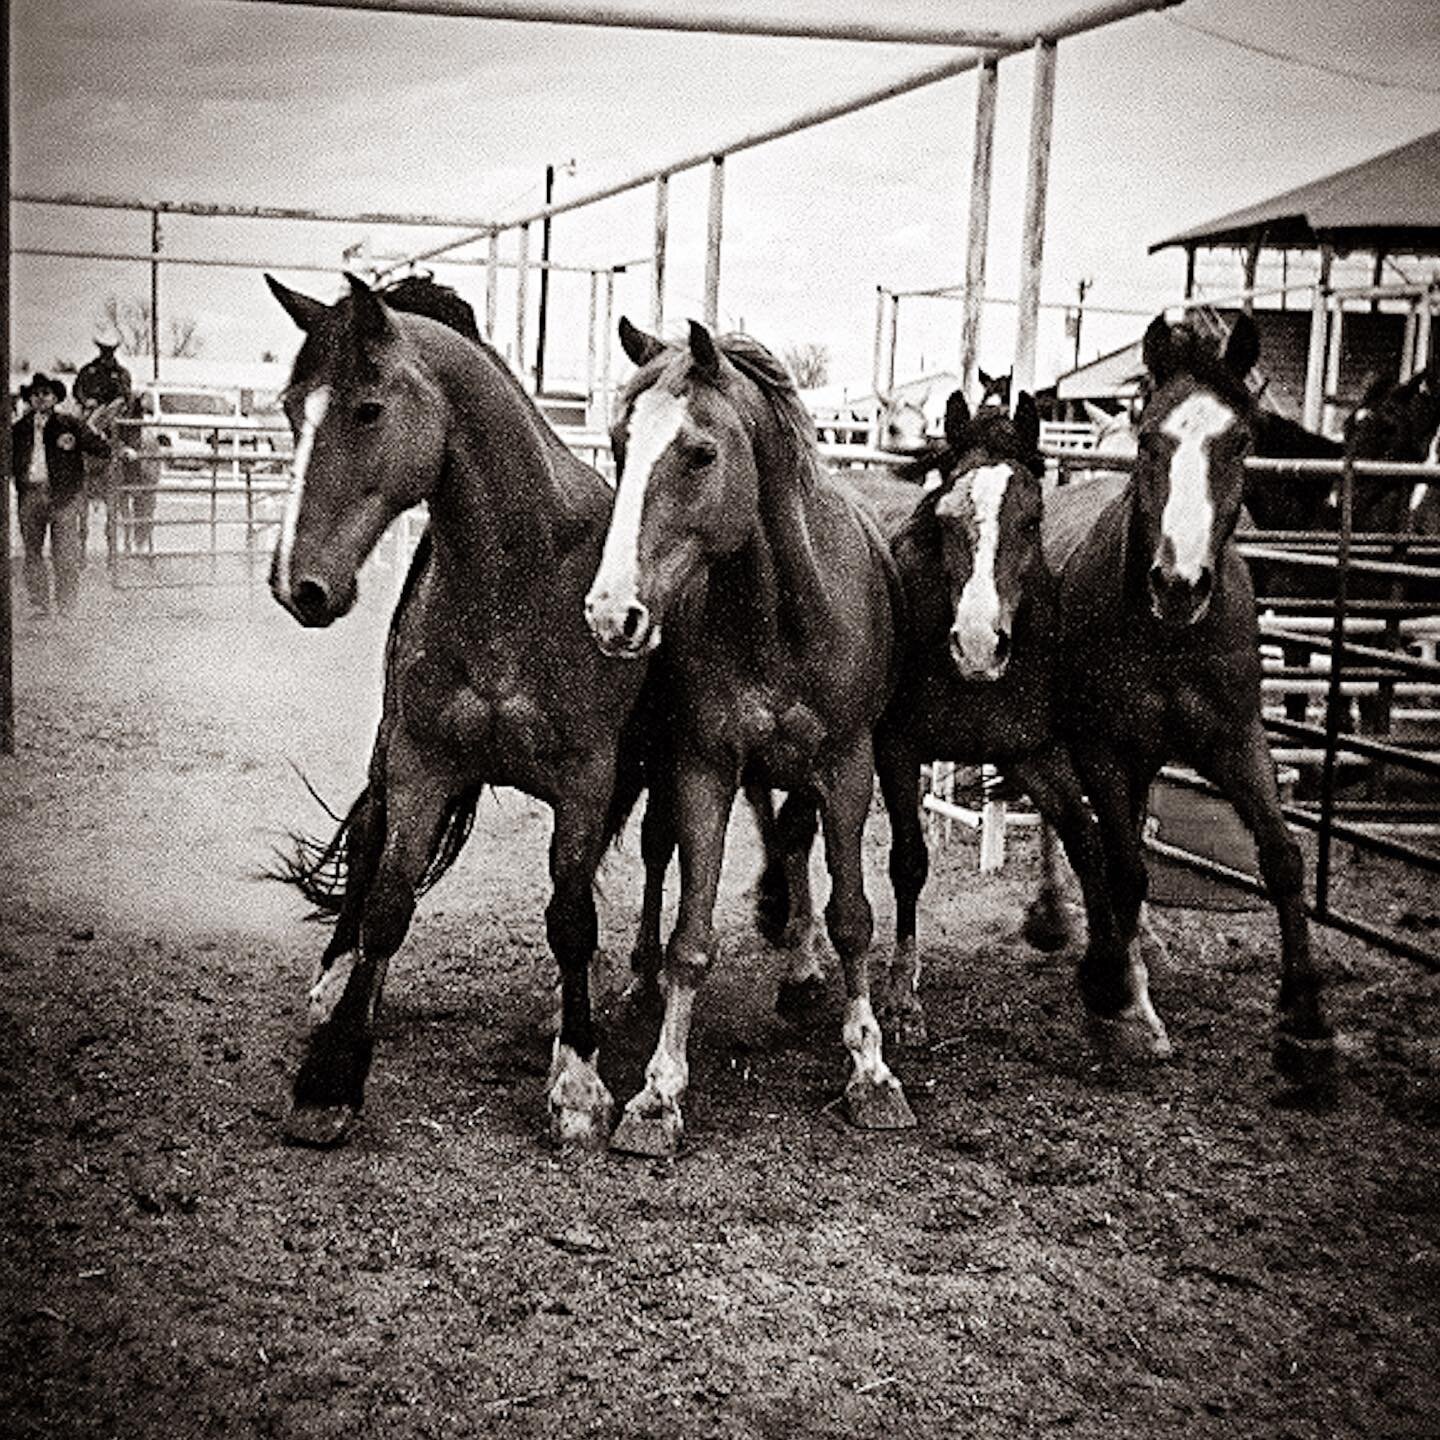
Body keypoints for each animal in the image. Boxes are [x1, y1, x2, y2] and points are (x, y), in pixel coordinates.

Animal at [266, 270, 659, 1146]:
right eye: (289, 407)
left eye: (366, 409)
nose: (296, 583)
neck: (520, 579)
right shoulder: (420, 762)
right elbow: (387, 900)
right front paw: (330, 1077)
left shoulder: (588, 781)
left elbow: (571, 914)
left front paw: (578, 1080)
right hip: (386, 753)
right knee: (368, 844)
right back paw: (332, 980)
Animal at [587, 321, 915, 1152]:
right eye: (618, 442)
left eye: (700, 453)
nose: (612, 614)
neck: (780, 610)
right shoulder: (704, 768)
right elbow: (690, 938)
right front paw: (658, 1094)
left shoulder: (848, 767)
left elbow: (853, 919)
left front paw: (872, 1072)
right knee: (662, 855)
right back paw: (643, 977)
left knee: (796, 844)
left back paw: (801, 967)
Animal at [1042, 315, 1330, 1094]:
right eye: (1150, 440)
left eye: (1241, 443)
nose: (1179, 583)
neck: (1168, 635)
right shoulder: (1104, 752)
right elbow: (1123, 867)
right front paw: (1112, 998)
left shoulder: (1238, 740)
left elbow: (1282, 857)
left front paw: (1305, 1021)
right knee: (1082, 840)